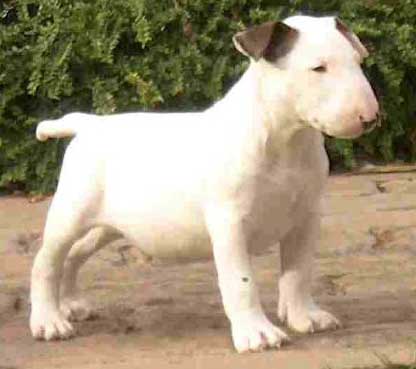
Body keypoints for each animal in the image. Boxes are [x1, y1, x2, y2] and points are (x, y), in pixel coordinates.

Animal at [30, 15, 378, 352]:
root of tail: (90, 124)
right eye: (318, 68)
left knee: (73, 256)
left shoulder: (305, 218)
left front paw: (304, 317)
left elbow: (299, 272)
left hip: (109, 226)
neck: (285, 140)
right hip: (71, 214)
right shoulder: (230, 223)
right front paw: (257, 333)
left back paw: (70, 305)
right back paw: (49, 321)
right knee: (46, 262)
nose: (370, 118)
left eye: (359, 61)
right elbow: (241, 281)